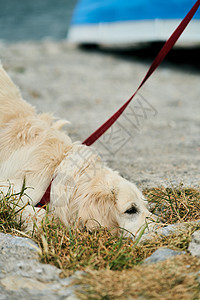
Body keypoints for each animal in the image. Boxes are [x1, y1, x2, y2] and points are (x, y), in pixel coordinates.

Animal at [0, 64, 155, 236]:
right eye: (131, 210)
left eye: (145, 206)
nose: (160, 227)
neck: (54, 173)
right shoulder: (9, 189)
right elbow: (40, 214)